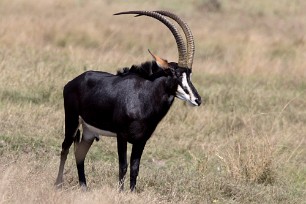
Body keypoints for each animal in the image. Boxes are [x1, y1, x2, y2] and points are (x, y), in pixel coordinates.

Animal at [55, 9, 202, 191]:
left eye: (189, 75)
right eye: (175, 74)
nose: (197, 99)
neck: (143, 98)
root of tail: (72, 82)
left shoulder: (141, 140)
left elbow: (135, 167)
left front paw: (131, 192)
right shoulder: (122, 136)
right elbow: (123, 166)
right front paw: (120, 192)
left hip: (89, 131)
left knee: (79, 153)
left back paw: (84, 186)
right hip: (72, 120)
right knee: (65, 148)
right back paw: (58, 184)